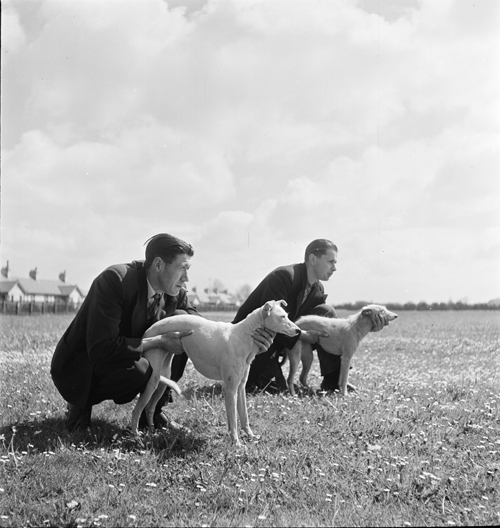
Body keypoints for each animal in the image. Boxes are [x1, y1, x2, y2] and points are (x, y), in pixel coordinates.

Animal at [131, 300, 298, 444]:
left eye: (287, 315)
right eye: (282, 317)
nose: (298, 330)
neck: (244, 336)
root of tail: (148, 330)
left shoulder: (240, 387)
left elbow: (243, 417)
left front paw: (250, 436)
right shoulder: (230, 389)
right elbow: (234, 420)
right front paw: (237, 443)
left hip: (163, 379)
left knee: (150, 408)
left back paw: (152, 433)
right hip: (153, 381)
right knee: (136, 411)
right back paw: (137, 437)